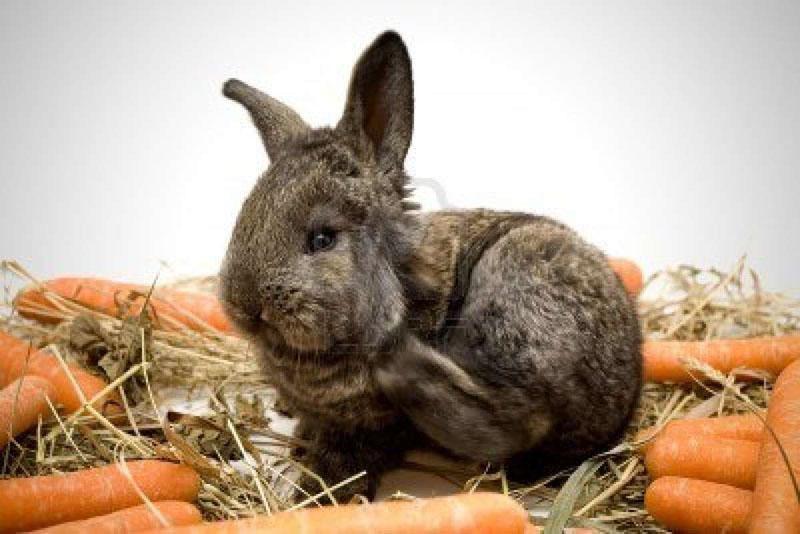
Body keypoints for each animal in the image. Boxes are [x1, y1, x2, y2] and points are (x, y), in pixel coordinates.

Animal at [219, 30, 644, 502]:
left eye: (323, 238)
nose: (244, 305)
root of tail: (623, 396)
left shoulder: (369, 427)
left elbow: (352, 456)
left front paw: (317, 490)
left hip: (512, 283)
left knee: (516, 420)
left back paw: (404, 363)